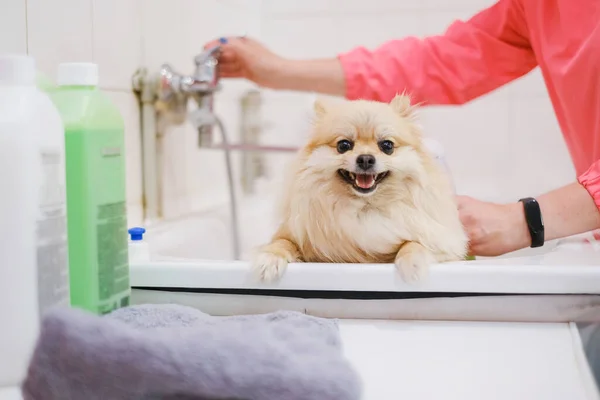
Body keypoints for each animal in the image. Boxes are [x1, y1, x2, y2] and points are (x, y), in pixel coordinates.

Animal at [251, 95, 466, 282]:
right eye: (344, 145)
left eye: (387, 146)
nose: (365, 159)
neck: (364, 208)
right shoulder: (294, 234)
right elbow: (281, 242)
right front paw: (269, 259)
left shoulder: (442, 244)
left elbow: (414, 242)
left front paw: (413, 264)